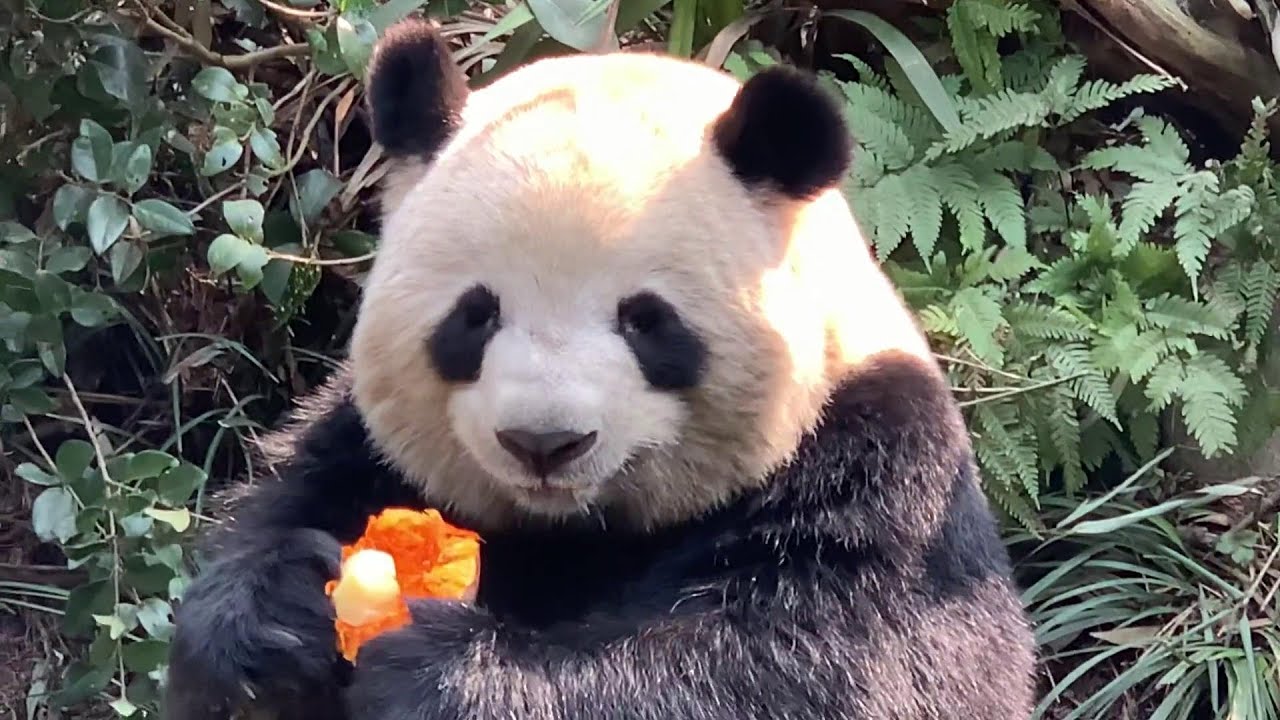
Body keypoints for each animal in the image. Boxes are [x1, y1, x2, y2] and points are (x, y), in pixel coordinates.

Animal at [163, 17, 1038, 720]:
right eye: (476, 315)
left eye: (646, 321)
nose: (544, 443)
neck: (576, 528)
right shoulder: (363, 445)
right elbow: (283, 505)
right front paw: (273, 623)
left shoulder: (880, 466)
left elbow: (823, 663)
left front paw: (438, 671)